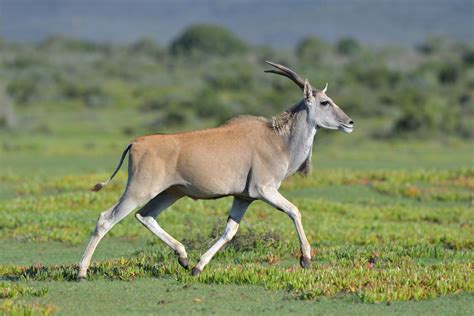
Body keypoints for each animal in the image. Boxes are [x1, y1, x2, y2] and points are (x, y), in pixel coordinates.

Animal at [78, 61, 354, 278]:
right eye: (325, 102)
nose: (350, 122)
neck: (278, 139)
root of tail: (136, 142)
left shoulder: (244, 198)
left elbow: (229, 232)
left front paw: (198, 266)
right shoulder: (265, 190)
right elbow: (294, 211)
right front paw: (306, 259)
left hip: (171, 193)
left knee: (145, 216)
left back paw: (183, 256)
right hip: (139, 191)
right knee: (106, 219)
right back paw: (81, 271)